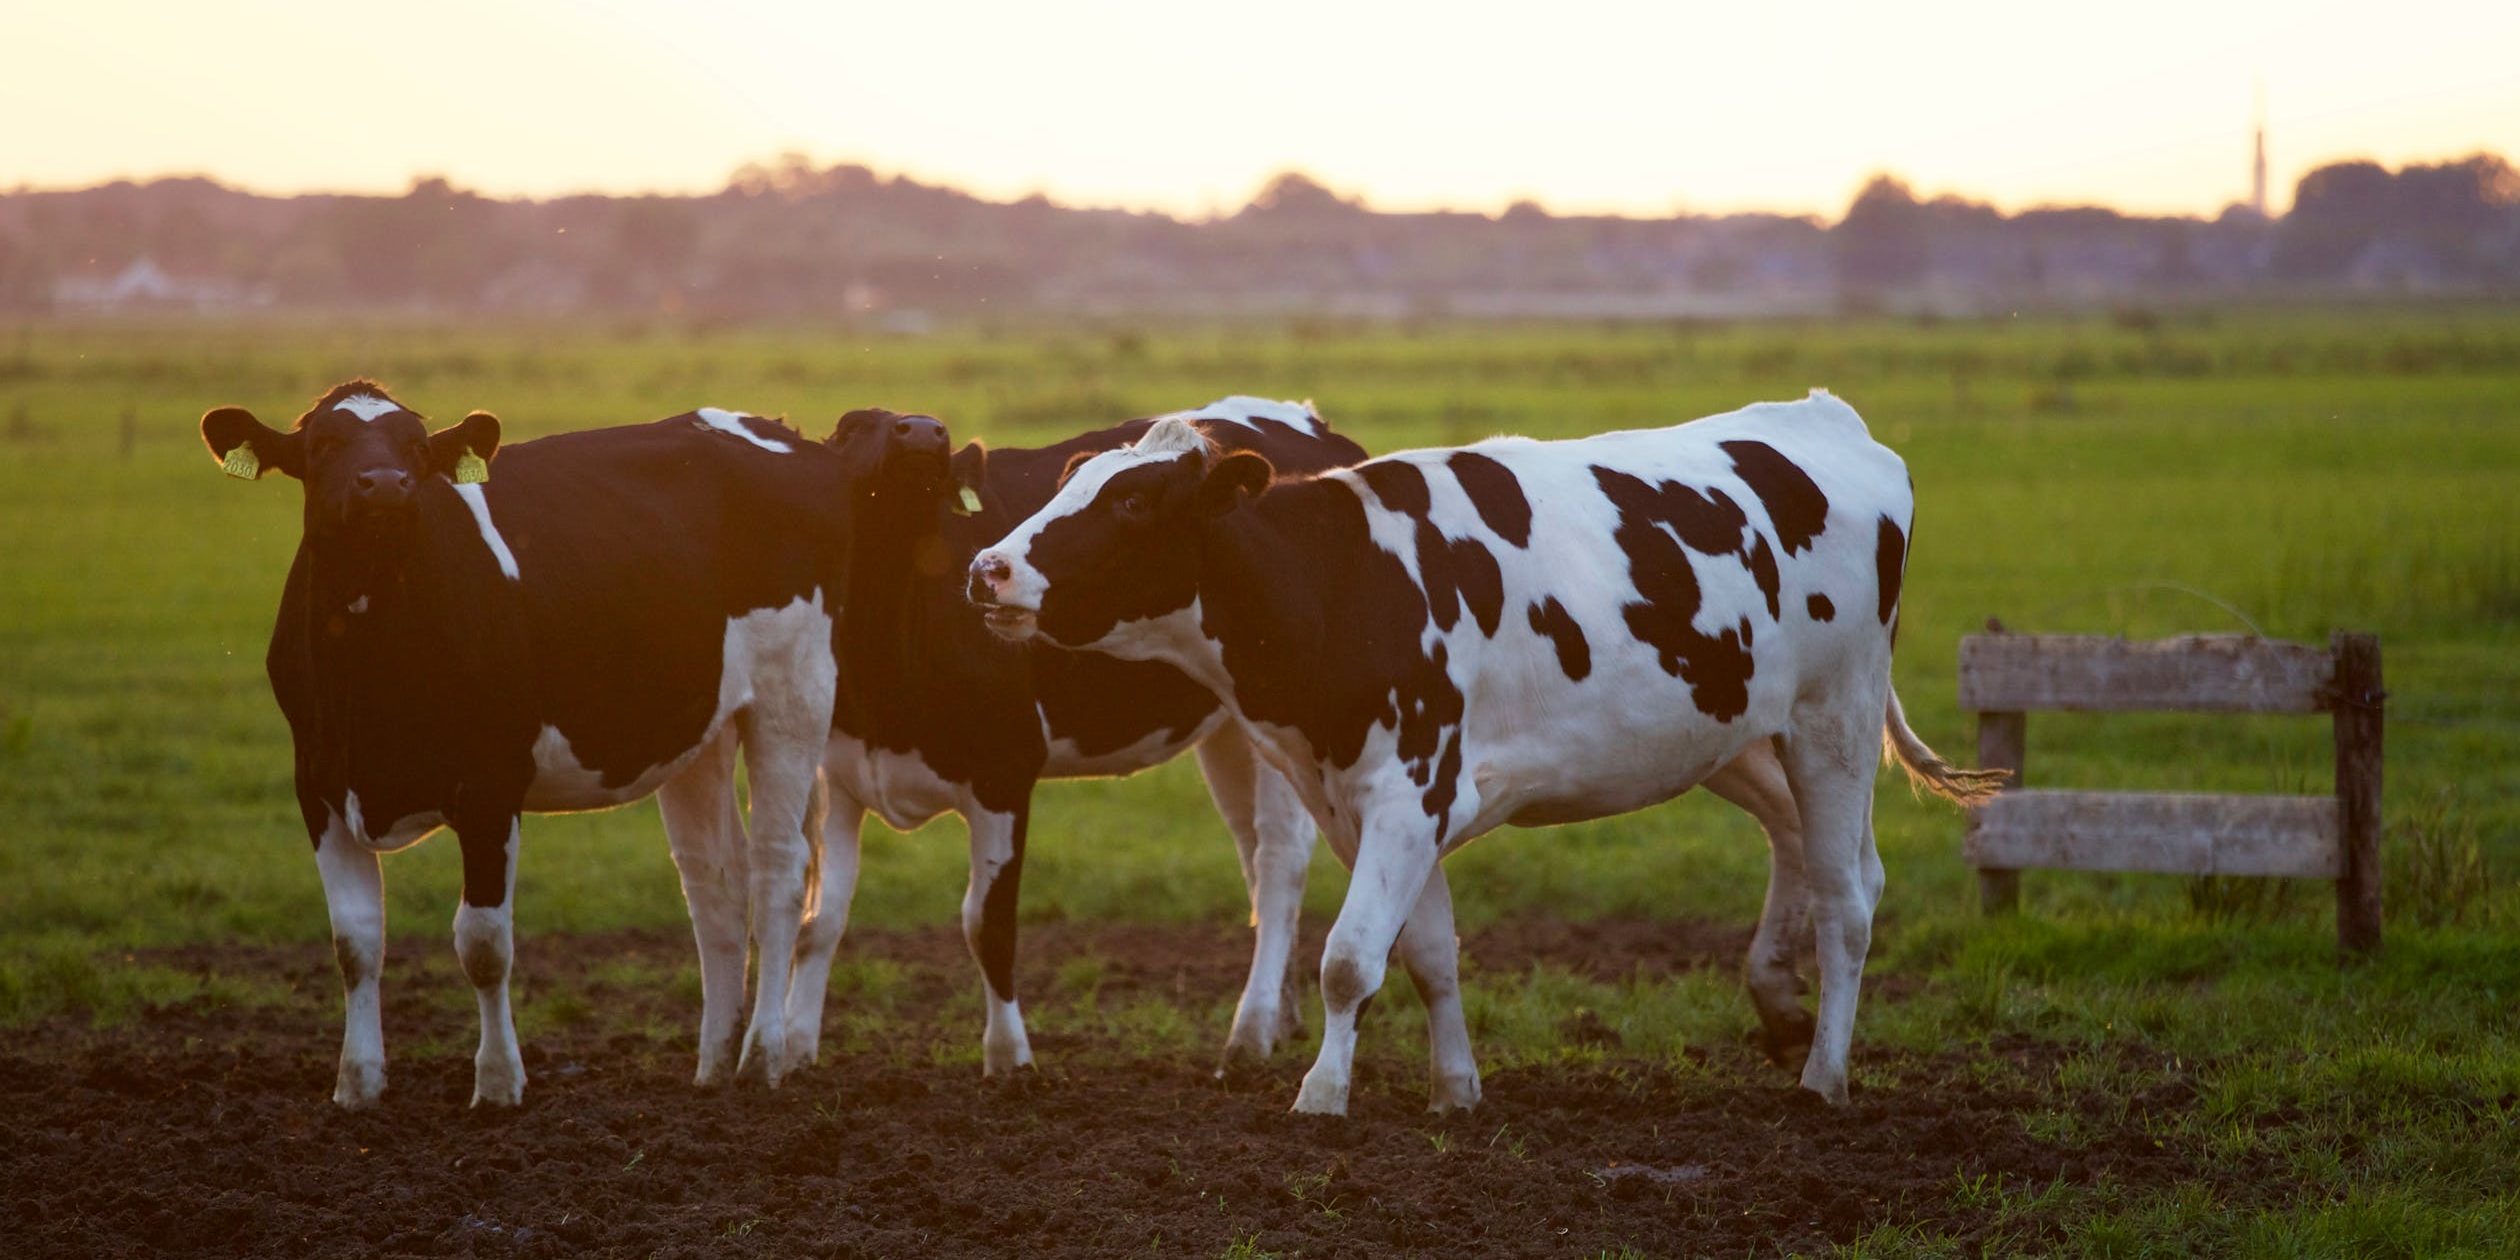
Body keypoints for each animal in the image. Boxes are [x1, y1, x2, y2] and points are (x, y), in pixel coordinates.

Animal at [200, 381, 852, 1107]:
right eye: (324, 445)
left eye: (416, 448)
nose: (386, 486)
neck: (368, 671)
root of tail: (779, 430)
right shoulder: (318, 786)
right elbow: (355, 942)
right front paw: (358, 1084)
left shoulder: (490, 787)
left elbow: (483, 944)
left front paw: (497, 1083)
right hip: (700, 727)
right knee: (715, 882)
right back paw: (712, 1063)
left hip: (793, 693)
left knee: (778, 871)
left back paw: (762, 1055)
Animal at [787, 398, 1367, 1074]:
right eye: (852, 427)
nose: (925, 431)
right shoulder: (839, 773)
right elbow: (820, 919)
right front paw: (790, 1051)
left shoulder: (1004, 770)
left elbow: (988, 923)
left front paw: (1009, 1059)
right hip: (1231, 730)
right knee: (1251, 854)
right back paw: (1282, 1017)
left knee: (1278, 862)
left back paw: (1249, 1033)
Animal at [967, 390, 2005, 1115]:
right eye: (1068, 484)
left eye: (1135, 502)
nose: (987, 568)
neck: (1343, 581)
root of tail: (1827, 419)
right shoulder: (1370, 804)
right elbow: (1426, 953)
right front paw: (1454, 1089)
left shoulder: (1408, 791)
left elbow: (1349, 959)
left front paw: (1321, 1095)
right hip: (1736, 732)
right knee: (1813, 850)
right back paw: (1781, 1006)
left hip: (1835, 718)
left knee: (1848, 899)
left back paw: (1825, 1075)